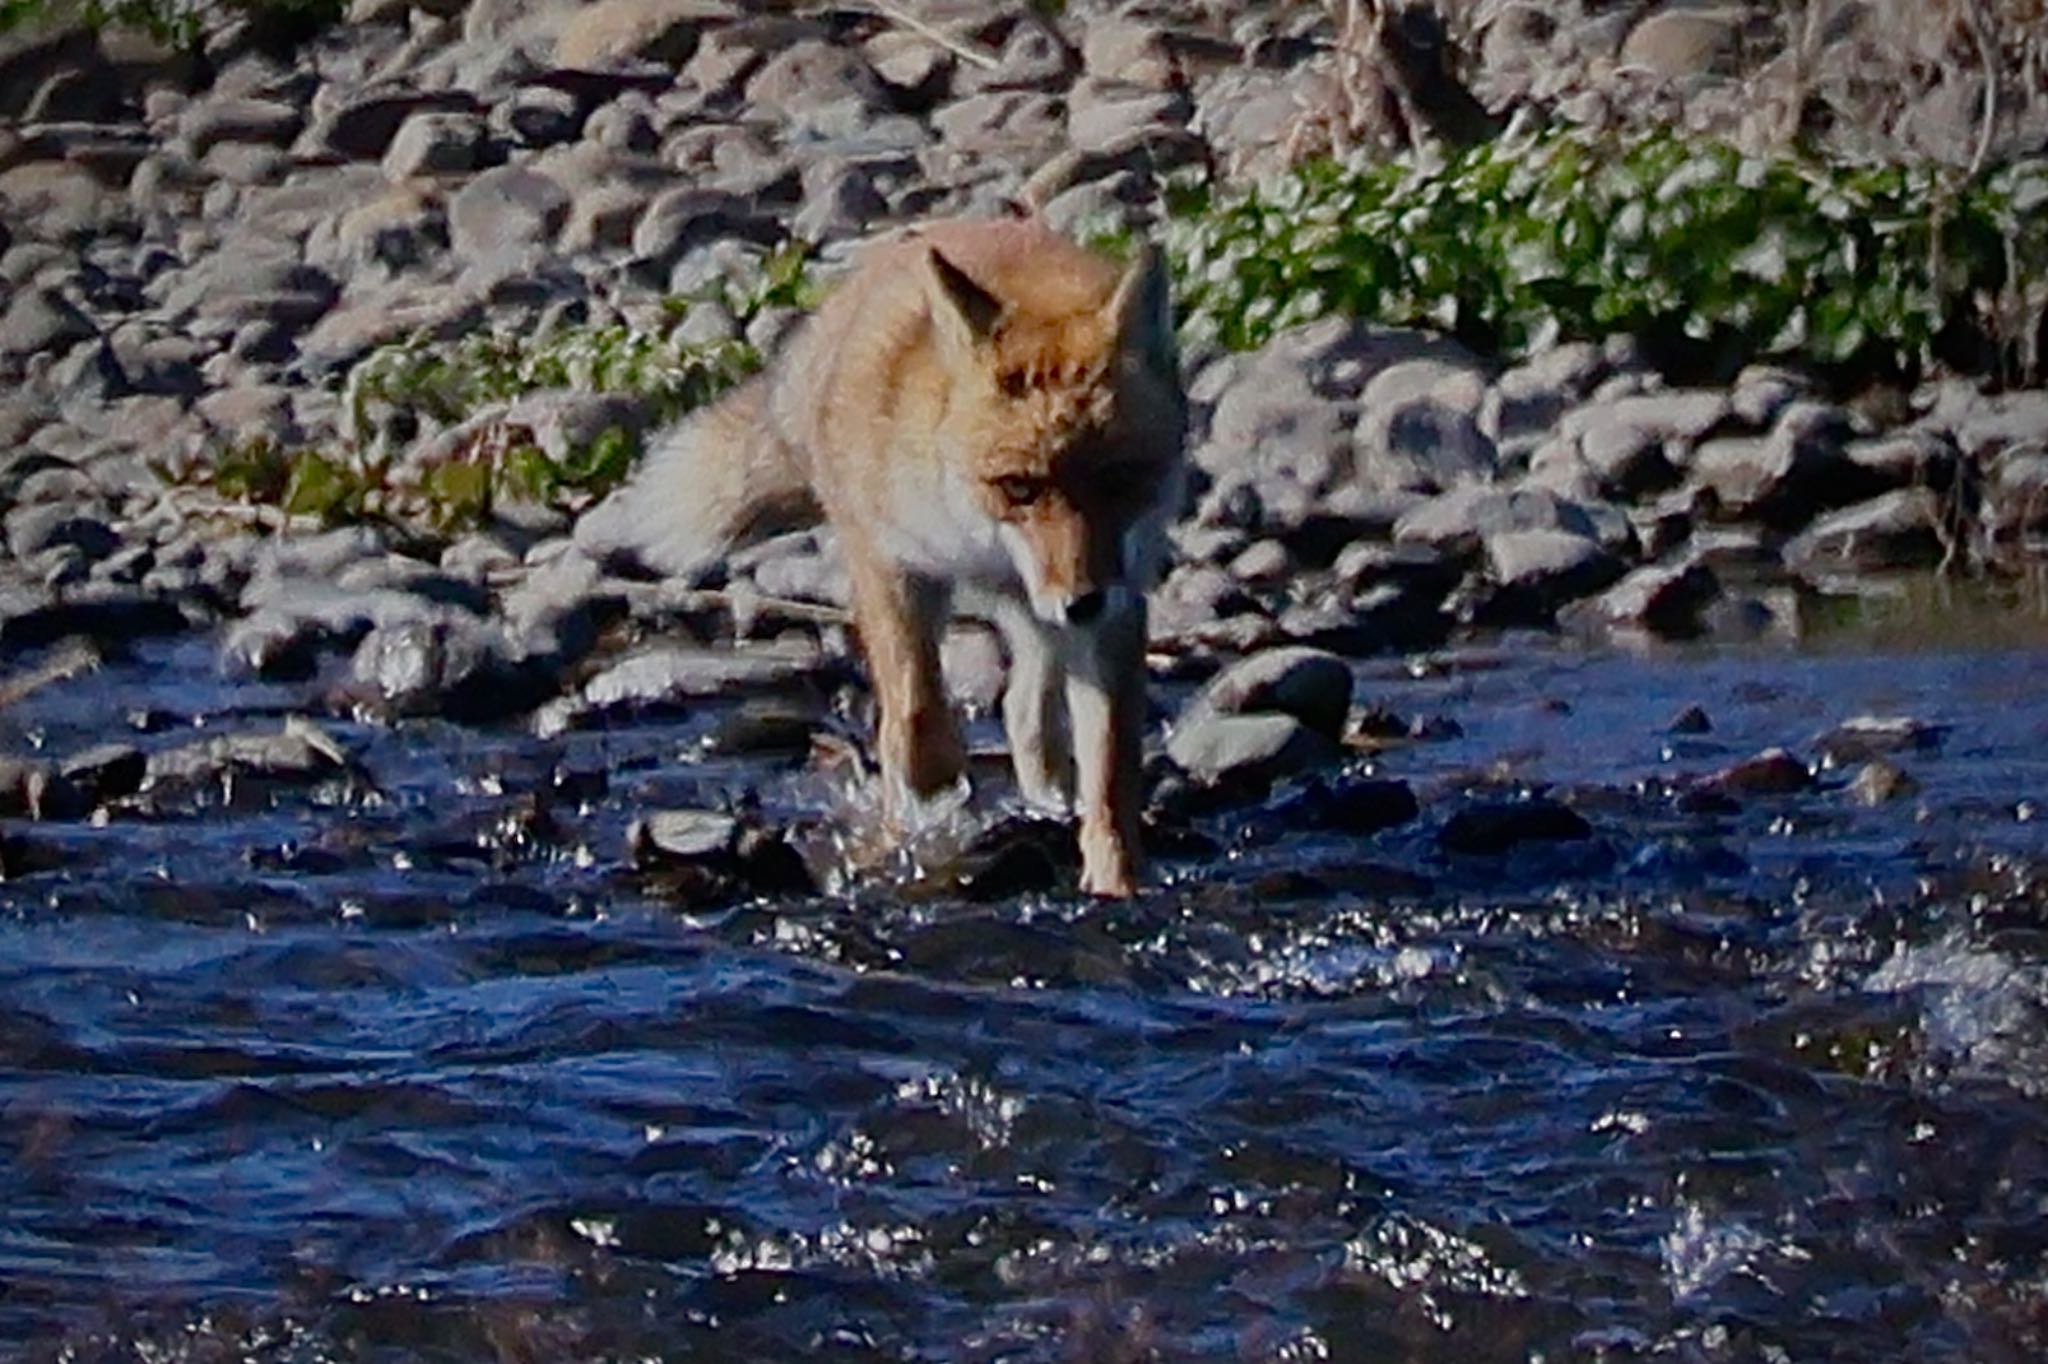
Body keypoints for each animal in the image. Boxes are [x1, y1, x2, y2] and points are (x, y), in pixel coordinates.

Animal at [577, 215, 1187, 892]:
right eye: (1018, 487)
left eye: (1119, 479)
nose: (1082, 602)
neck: (968, 526)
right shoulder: (891, 563)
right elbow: (916, 721)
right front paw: (925, 816)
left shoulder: (1117, 606)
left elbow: (1110, 772)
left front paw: (1115, 882)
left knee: (1026, 708)